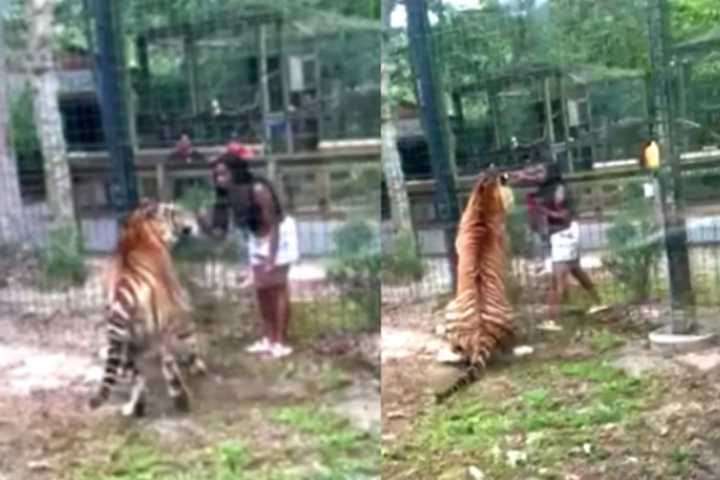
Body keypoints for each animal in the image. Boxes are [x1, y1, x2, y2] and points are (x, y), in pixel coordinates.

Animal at [89, 200, 208, 416]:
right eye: (176, 212)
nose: (195, 219)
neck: (138, 227)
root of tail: (125, 287)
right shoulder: (180, 303)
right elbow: (190, 338)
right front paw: (197, 364)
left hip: (123, 339)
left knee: (138, 376)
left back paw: (136, 407)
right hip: (162, 327)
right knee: (168, 363)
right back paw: (182, 400)